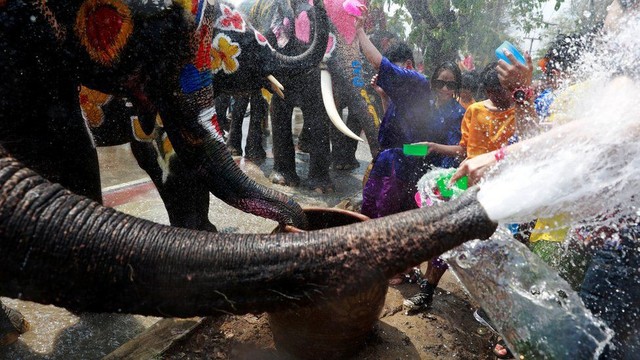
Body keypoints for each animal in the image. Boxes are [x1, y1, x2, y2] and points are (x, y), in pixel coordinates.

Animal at [238, 0, 382, 193]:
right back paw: (251, 156)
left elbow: (319, 108)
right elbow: (280, 103)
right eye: (314, 23)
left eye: (361, 27)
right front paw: (283, 182)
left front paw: (321, 188)